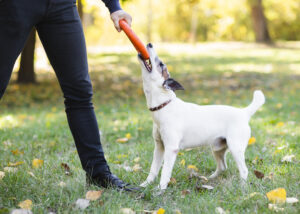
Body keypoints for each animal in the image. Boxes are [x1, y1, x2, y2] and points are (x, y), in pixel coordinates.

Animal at [137, 43, 266, 191]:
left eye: (160, 64)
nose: (149, 44)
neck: (164, 105)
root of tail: (244, 113)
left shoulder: (170, 148)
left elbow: (165, 172)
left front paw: (160, 189)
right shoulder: (159, 147)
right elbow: (153, 169)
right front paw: (145, 185)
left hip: (235, 147)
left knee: (244, 170)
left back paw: (242, 187)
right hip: (218, 148)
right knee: (223, 166)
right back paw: (209, 179)